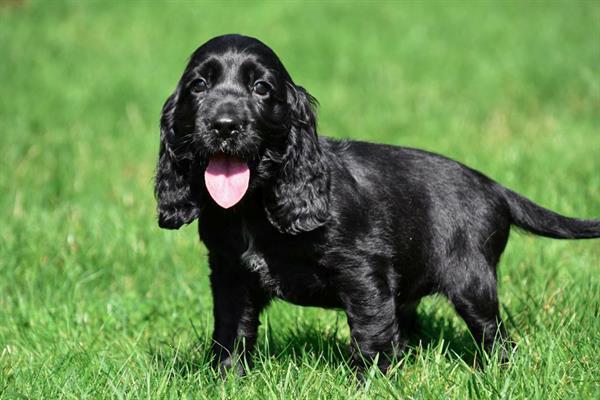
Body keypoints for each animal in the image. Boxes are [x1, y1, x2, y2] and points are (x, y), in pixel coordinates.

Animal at [156, 34, 600, 376]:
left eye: (261, 88)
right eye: (199, 85)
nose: (224, 126)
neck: (254, 204)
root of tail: (494, 186)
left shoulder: (363, 271)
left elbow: (370, 333)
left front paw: (369, 384)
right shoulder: (230, 273)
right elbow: (231, 333)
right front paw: (227, 381)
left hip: (472, 280)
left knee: (494, 335)